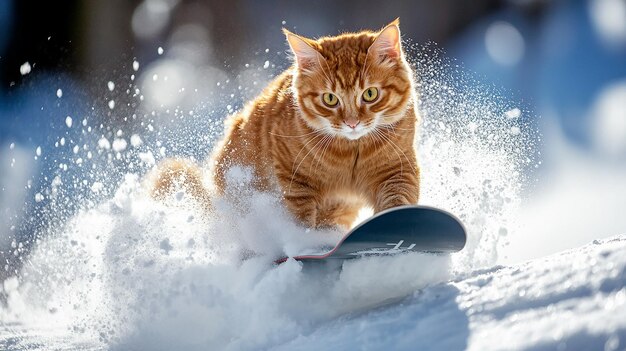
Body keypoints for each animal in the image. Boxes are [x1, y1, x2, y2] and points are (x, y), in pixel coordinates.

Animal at [150, 17, 420, 230]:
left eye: (370, 94)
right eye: (330, 99)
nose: (352, 123)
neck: (352, 154)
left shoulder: (398, 171)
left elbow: (398, 204)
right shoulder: (295, 182)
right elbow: (301, 222)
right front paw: (304, 245)